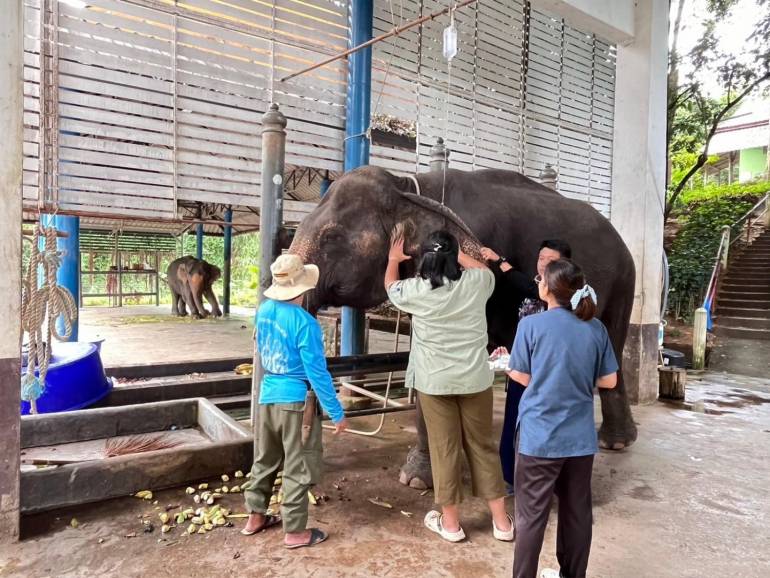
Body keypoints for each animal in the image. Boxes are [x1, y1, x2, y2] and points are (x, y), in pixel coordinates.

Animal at [288, 164, 636, 488]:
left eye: (331, 237)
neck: (409, 187)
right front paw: (419, 478)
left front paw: (419, 479)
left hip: (624, 281)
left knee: (614, 344)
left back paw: (615, 442)